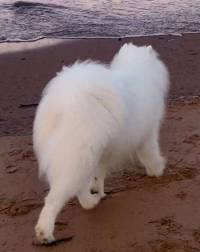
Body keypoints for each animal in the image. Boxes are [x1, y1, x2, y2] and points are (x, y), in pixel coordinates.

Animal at [32, 43, 169, 244]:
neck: (138, 70)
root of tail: (68, 101)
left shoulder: (103, 154)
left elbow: (98, 176)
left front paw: (98, 189)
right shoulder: (148, 136)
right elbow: (151, 155)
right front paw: (158, 171)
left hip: (87, 155)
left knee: (79, 188)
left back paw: (92, 201)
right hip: (77, 158)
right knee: (54, 199)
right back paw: (45, 233)